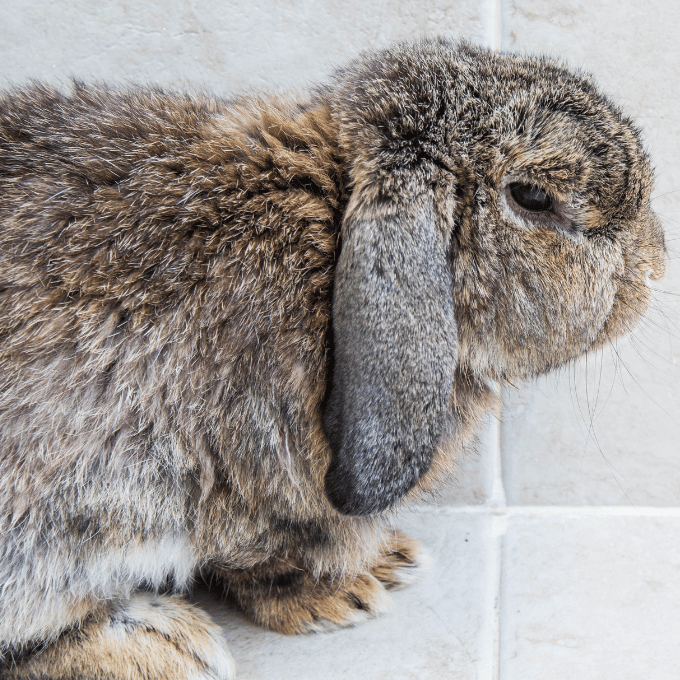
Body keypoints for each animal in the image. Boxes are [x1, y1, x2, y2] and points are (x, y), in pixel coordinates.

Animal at [0, 38, 668, 680]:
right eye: (531, 197)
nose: (655, 265)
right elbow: (267, 557)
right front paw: (346, 593)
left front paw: (388, 559)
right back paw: (164, 644)